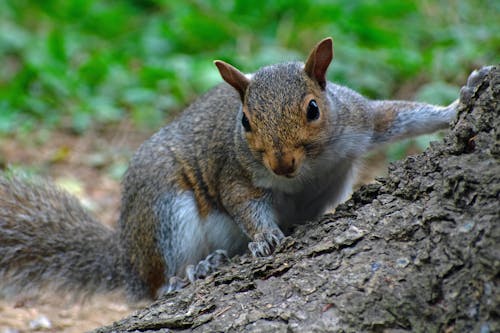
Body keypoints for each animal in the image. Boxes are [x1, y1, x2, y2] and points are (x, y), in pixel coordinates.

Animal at [0, 37, 458, 300]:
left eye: (313, 109)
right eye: (245, 122)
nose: (282, 163)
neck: (308, 167)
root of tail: (127, 261)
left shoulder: (358, 120)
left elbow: (398, 117)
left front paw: (457, 105)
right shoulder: (234, 170)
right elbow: (243, 203)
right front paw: (265, 237)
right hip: (164, 207)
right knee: (156, 284)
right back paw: (190, 273)